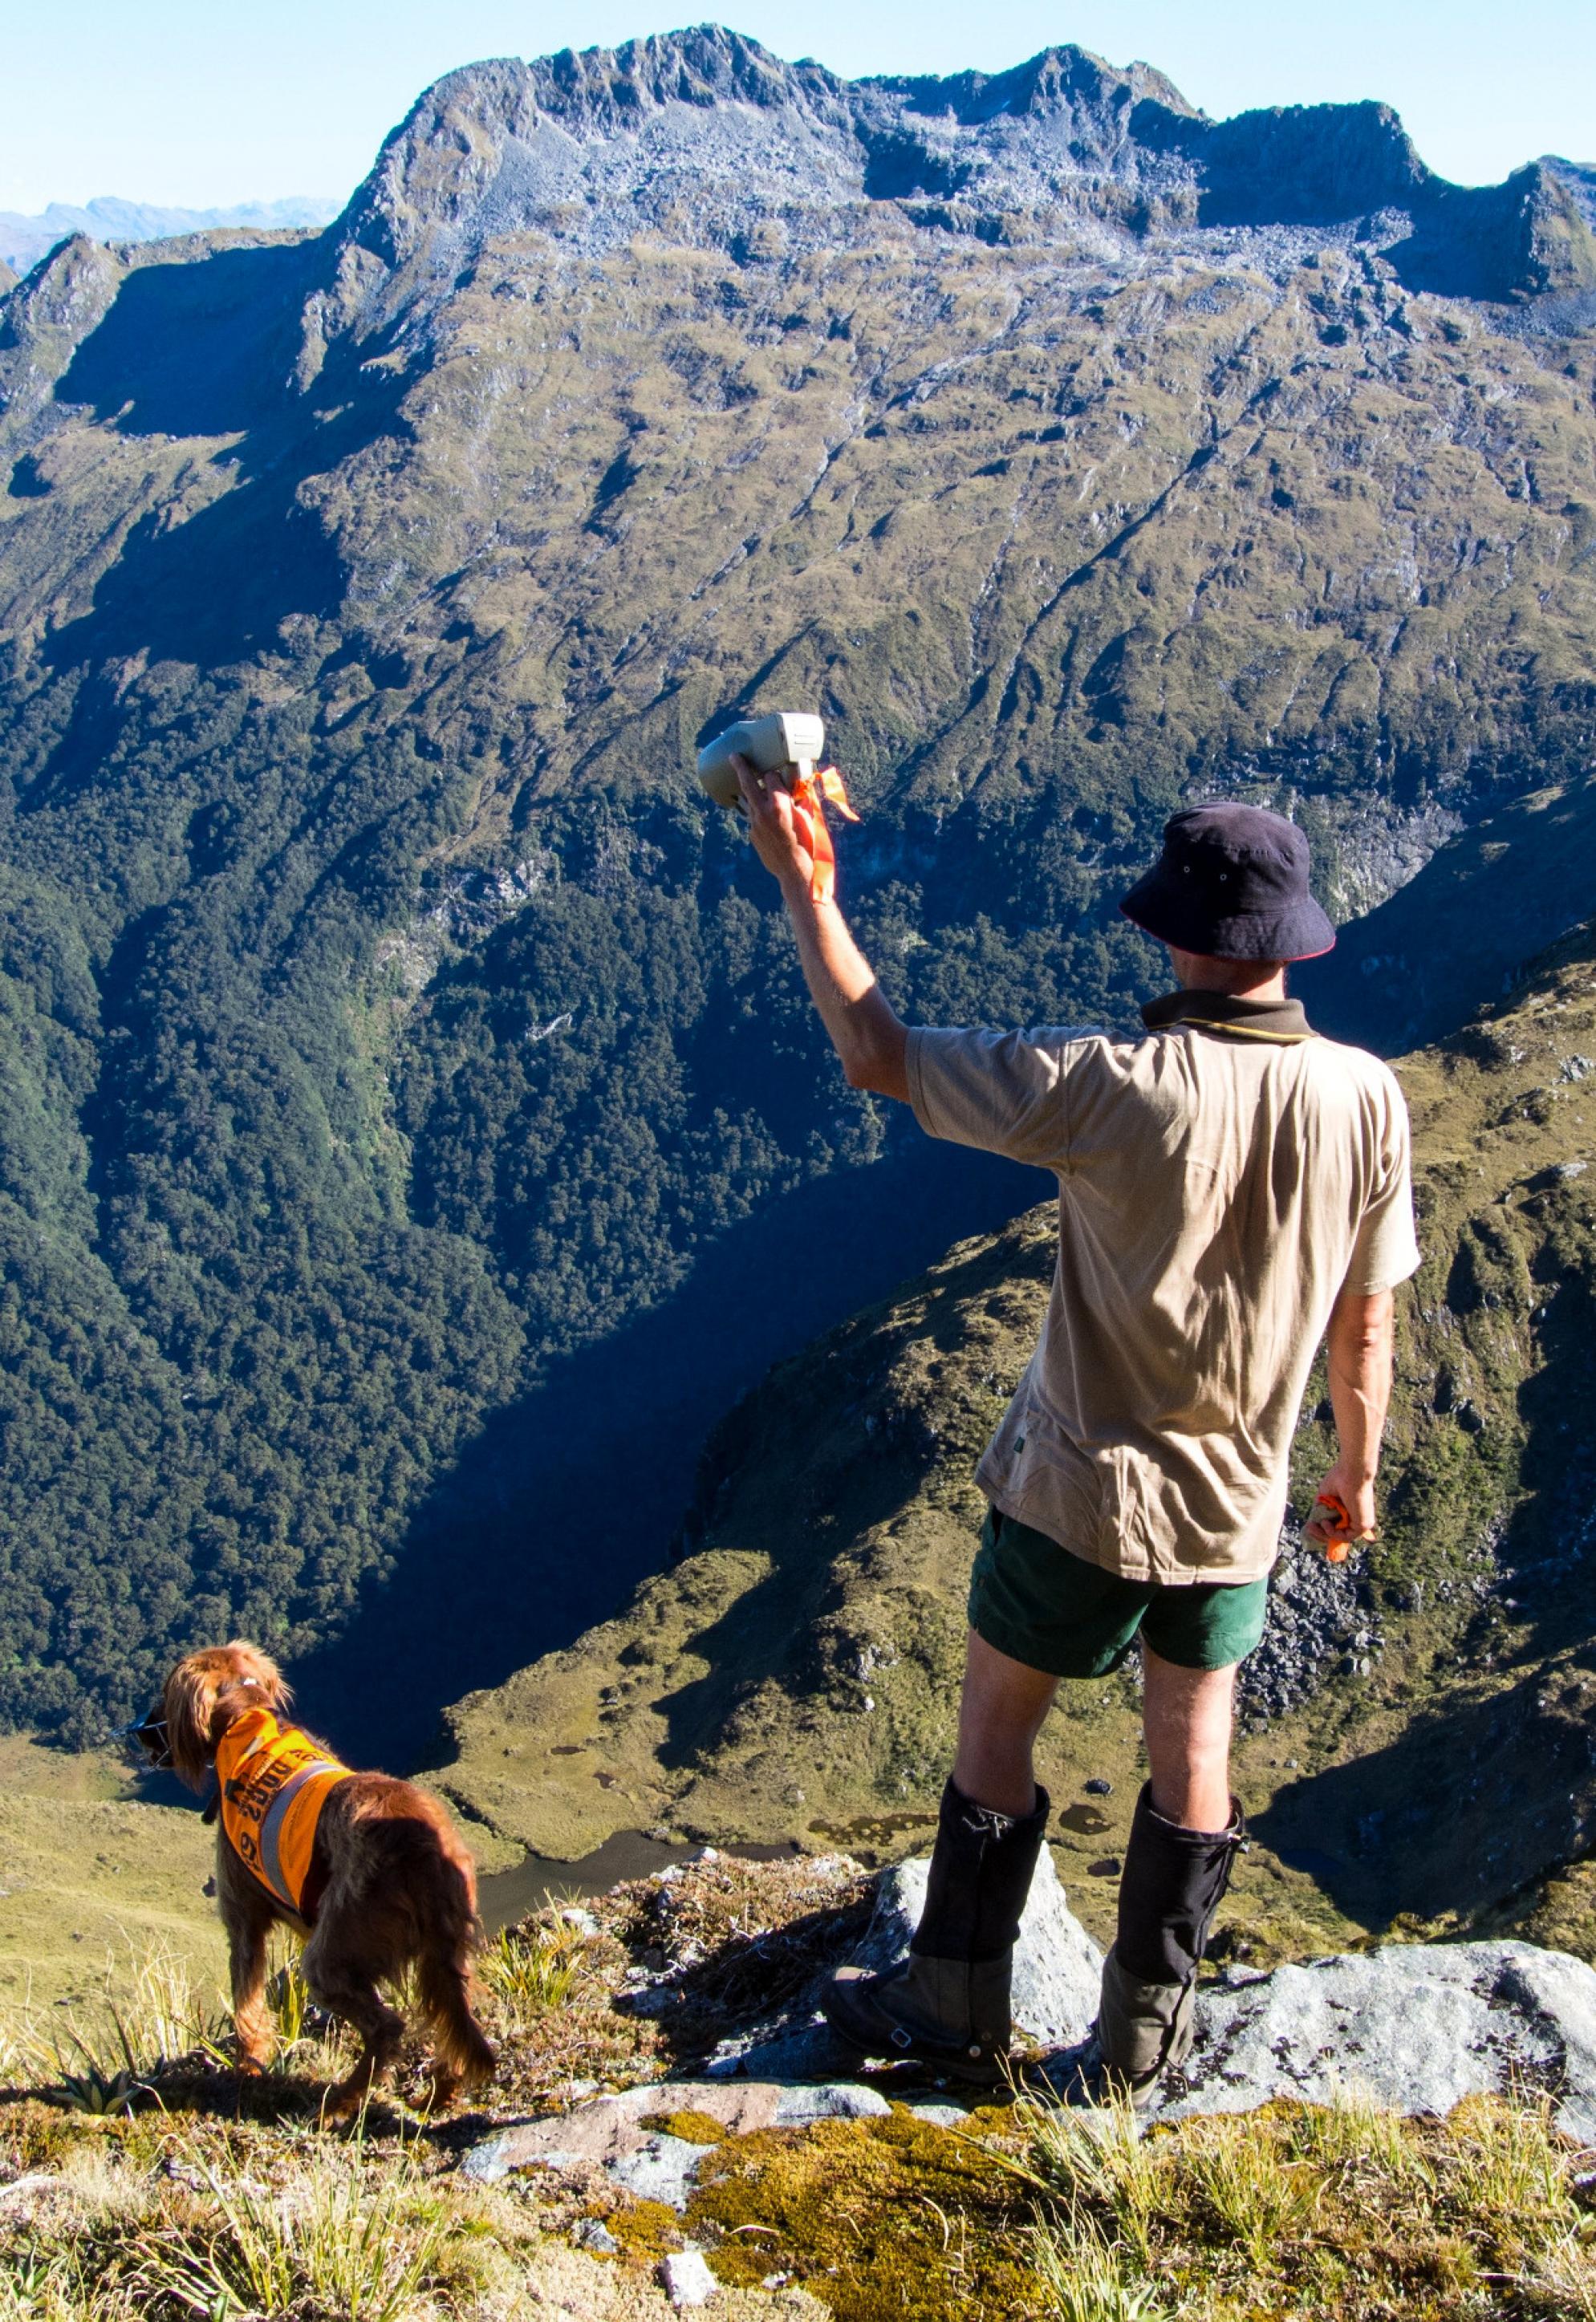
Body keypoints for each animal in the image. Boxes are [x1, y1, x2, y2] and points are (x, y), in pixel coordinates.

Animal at [144, 1643, 497, 2117]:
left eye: (164, 1694)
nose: (144, 1732)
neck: (246, 1720)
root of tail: (420, 1848)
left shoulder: (243, 1924)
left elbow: (247, 2008)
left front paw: (247, 2068)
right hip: (446, 1953)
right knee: (452, 2019)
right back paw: (439, 2094)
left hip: (330, 1955)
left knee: (386, 2027)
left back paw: (341, 2103)